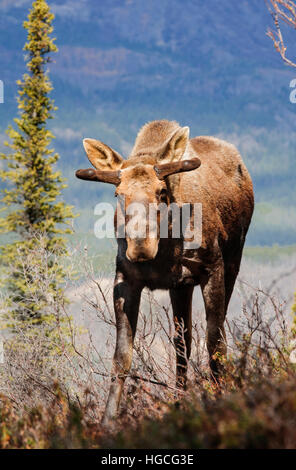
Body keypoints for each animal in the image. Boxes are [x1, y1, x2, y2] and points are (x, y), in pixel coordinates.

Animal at [75, 119, 253, 424]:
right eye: (118, 194)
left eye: (161, 192)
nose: (140, 247)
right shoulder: (127, 280)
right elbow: (122, 356)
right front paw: (108, 421)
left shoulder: (212, 268)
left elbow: (215, 342)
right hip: (180, 287)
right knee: (182, 344)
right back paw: (178, 401)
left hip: (232, 262)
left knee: (205, 338)